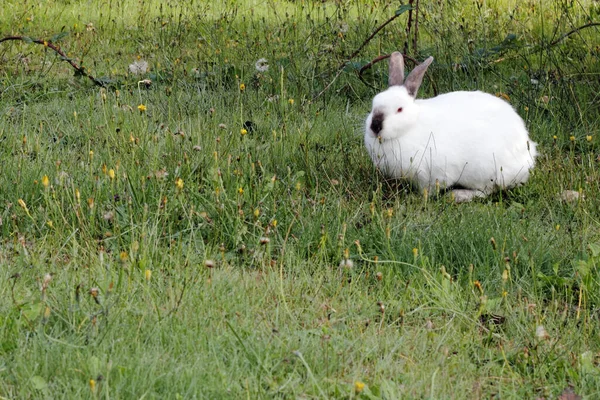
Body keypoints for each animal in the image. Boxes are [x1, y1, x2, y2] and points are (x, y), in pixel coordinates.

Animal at [366, 52, 540, 203]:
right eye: (374, 103)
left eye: (399, 109)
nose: (375, 126)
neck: (409, 127)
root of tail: (528, 155)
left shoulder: (434, 175)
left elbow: (428, 190)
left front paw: (418, 198)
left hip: (486, 172)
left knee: (486, 191)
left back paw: (457, 195)